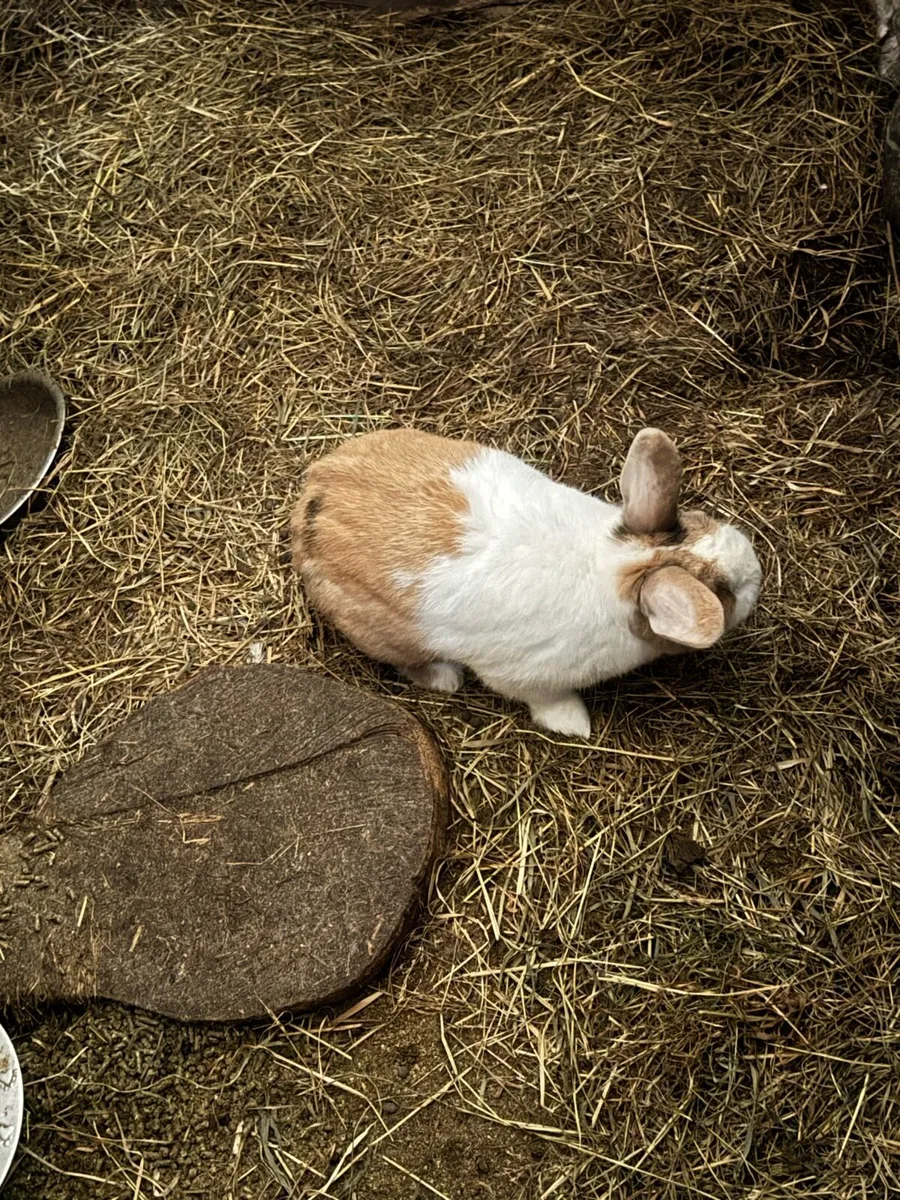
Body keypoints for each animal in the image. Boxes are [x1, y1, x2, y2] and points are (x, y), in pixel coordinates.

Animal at [290, 427, 762, 739]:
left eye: (700, 519)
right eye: (725, 593)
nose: (756, 569)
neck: (618, 566)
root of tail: (314, 493)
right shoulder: (525, 679)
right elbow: (546, 702)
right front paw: (575, 725)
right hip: (387, 635)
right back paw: (446, 678)